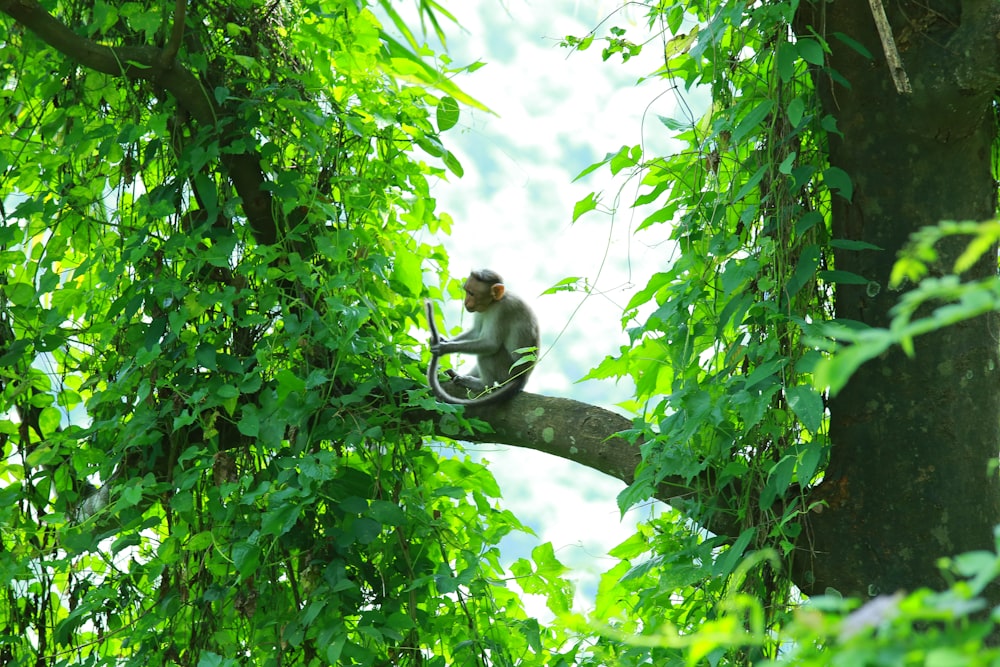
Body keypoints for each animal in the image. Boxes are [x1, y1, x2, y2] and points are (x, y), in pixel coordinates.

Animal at [428, 268, 544, 404]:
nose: (466, 302)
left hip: (506, 372)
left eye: (471, 293)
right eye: (466, 291)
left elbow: (490, 344)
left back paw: (482, 384)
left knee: (487, 354)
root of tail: (522, 378)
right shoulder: (481, 310)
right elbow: (476, 332)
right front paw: (443, 340)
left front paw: (444, 348)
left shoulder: (502, 310)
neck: (493, 302)